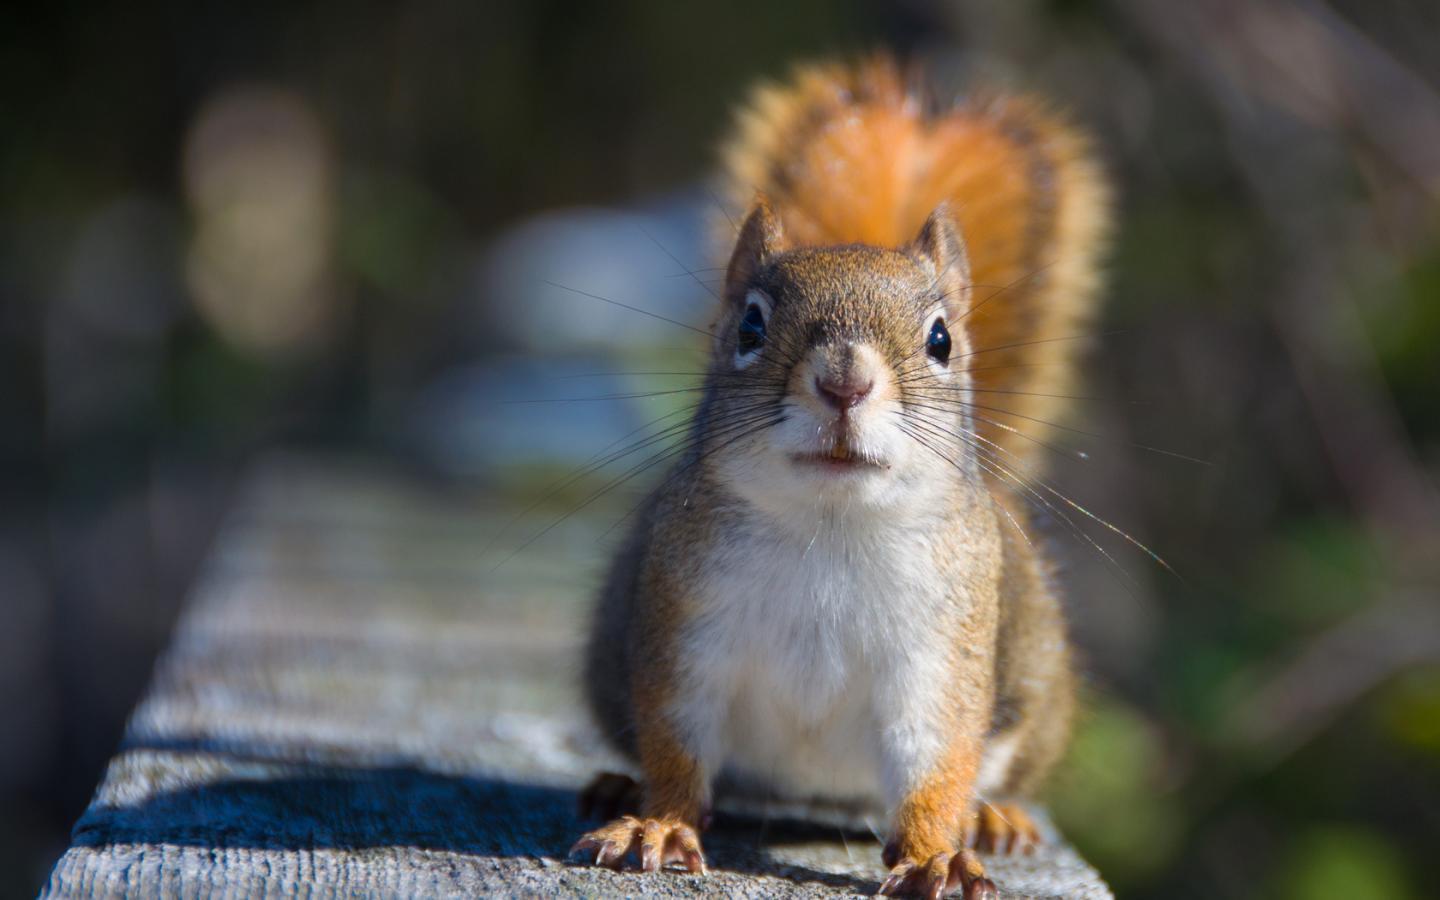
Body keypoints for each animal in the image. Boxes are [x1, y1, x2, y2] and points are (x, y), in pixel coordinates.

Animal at [568, 55, 1109, 900]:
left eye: (942, 339)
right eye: (750, 325)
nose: (845, 381)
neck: (832, 525)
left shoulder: (939, 661)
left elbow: (936, 764)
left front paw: (935, 855)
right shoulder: (685, 633)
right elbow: (676, 745)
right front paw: (657, 824)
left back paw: (993, 818)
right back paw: (618, 786)